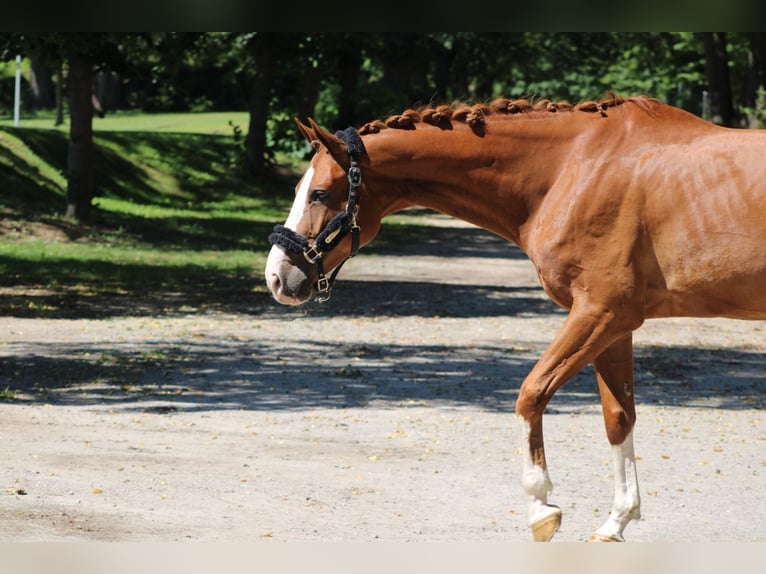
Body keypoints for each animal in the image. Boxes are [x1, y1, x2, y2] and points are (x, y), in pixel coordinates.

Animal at [264, 97, 766, 544]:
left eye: (320, 193)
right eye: (296, 190)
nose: (276, 277)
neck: (573, 168)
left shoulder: (601, 312)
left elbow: (531, 394)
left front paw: (541, 507)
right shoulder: (615, 325)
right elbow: (618, 417)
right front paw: (615, 522)